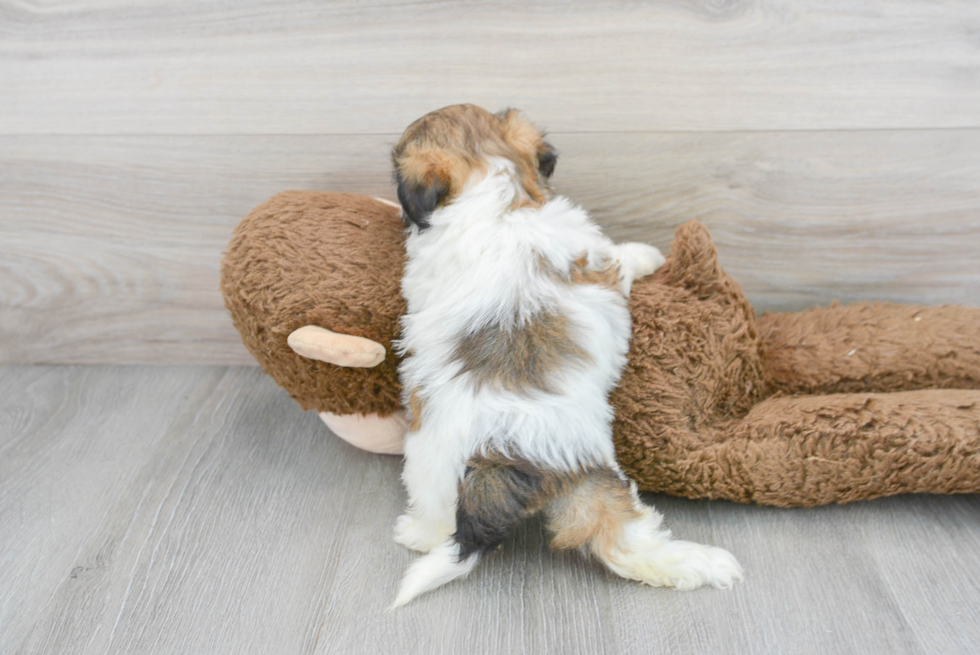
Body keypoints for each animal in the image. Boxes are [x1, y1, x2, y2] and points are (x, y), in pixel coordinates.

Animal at [390, 105, 744, 608]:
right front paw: (648, 253)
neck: (498, 201)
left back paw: (418, 533)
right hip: (589, 478)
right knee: (623, 541)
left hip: (434, 464)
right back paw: (704, 564)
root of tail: (499, 458)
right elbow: (622, 257)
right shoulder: (598, 257)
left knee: (439, 517)